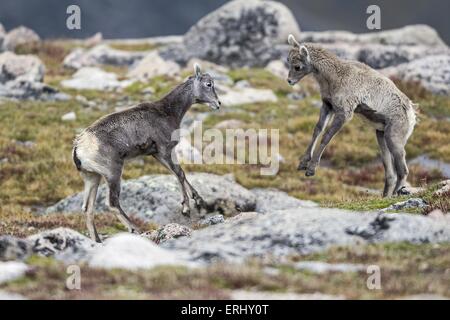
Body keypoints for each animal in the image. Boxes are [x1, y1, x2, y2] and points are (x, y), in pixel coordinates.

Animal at [72, 63, 221, 241]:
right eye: (208, 84)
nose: (218, 103)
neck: (168, 111)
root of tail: (79, 148)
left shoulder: (157, 154)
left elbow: (180, 173)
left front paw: (198, 200)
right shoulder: (165, 150)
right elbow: (179, 173)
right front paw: (186, 208)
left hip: (92, 177)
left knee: (87, 208)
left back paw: (97, 240)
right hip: (113, 174)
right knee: (113, 203)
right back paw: (136, 229)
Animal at [286, 33, 416, 196]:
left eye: (297, 66)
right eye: (288, 60)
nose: (289, 81)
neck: (334, 76)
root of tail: (411, 115)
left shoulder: (344, 114)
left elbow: (326, 137)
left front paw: (311, 169)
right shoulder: (327, 106)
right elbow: (317, 130)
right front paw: (302, 163)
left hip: (394, 139)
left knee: (403, 171)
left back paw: (395, 195)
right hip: (381, 135)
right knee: (390, 174)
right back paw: (385, 197)